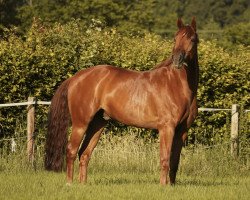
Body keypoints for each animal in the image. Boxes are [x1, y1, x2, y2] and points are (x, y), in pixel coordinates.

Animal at [44, 18, 198, 185]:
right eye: (175, 38)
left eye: (192, 39)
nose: (177, 60)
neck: (177, 85)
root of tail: (75, 78)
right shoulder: (166, 128)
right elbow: (165, 159)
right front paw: (163, 186)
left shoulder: (182, 130)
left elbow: (174, 162)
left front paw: (171, 186)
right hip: (81, 123)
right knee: (71, 151)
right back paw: (69, 183)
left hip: (98, 124)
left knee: (84, 154)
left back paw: (82, 184)